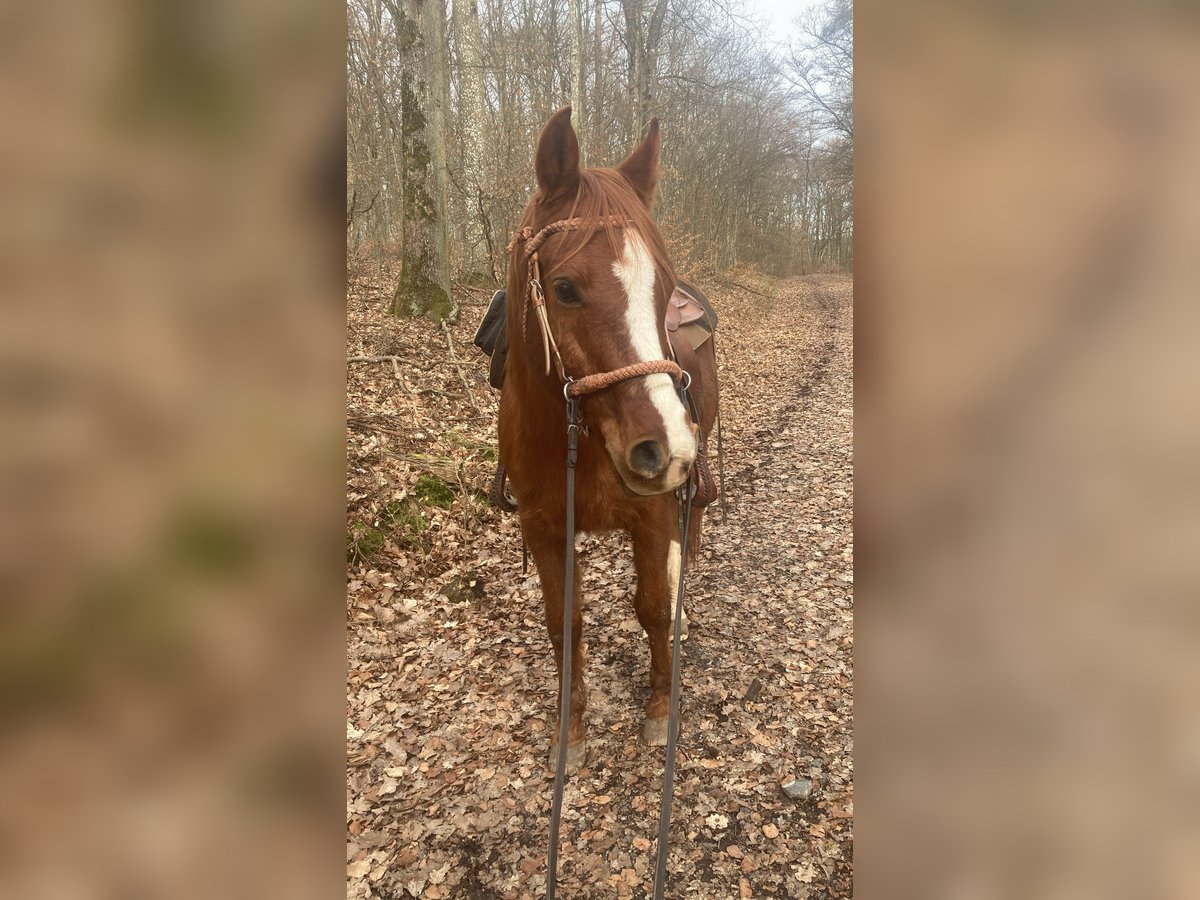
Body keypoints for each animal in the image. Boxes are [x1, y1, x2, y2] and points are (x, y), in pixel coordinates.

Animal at [499, 107, 715, 777]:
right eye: (565, 288)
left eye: (662, 287)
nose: (663, 448)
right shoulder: (545, 528)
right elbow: (564, 624)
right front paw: (569, 734)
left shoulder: (653, 515)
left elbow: (651, 606)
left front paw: (660, 709)